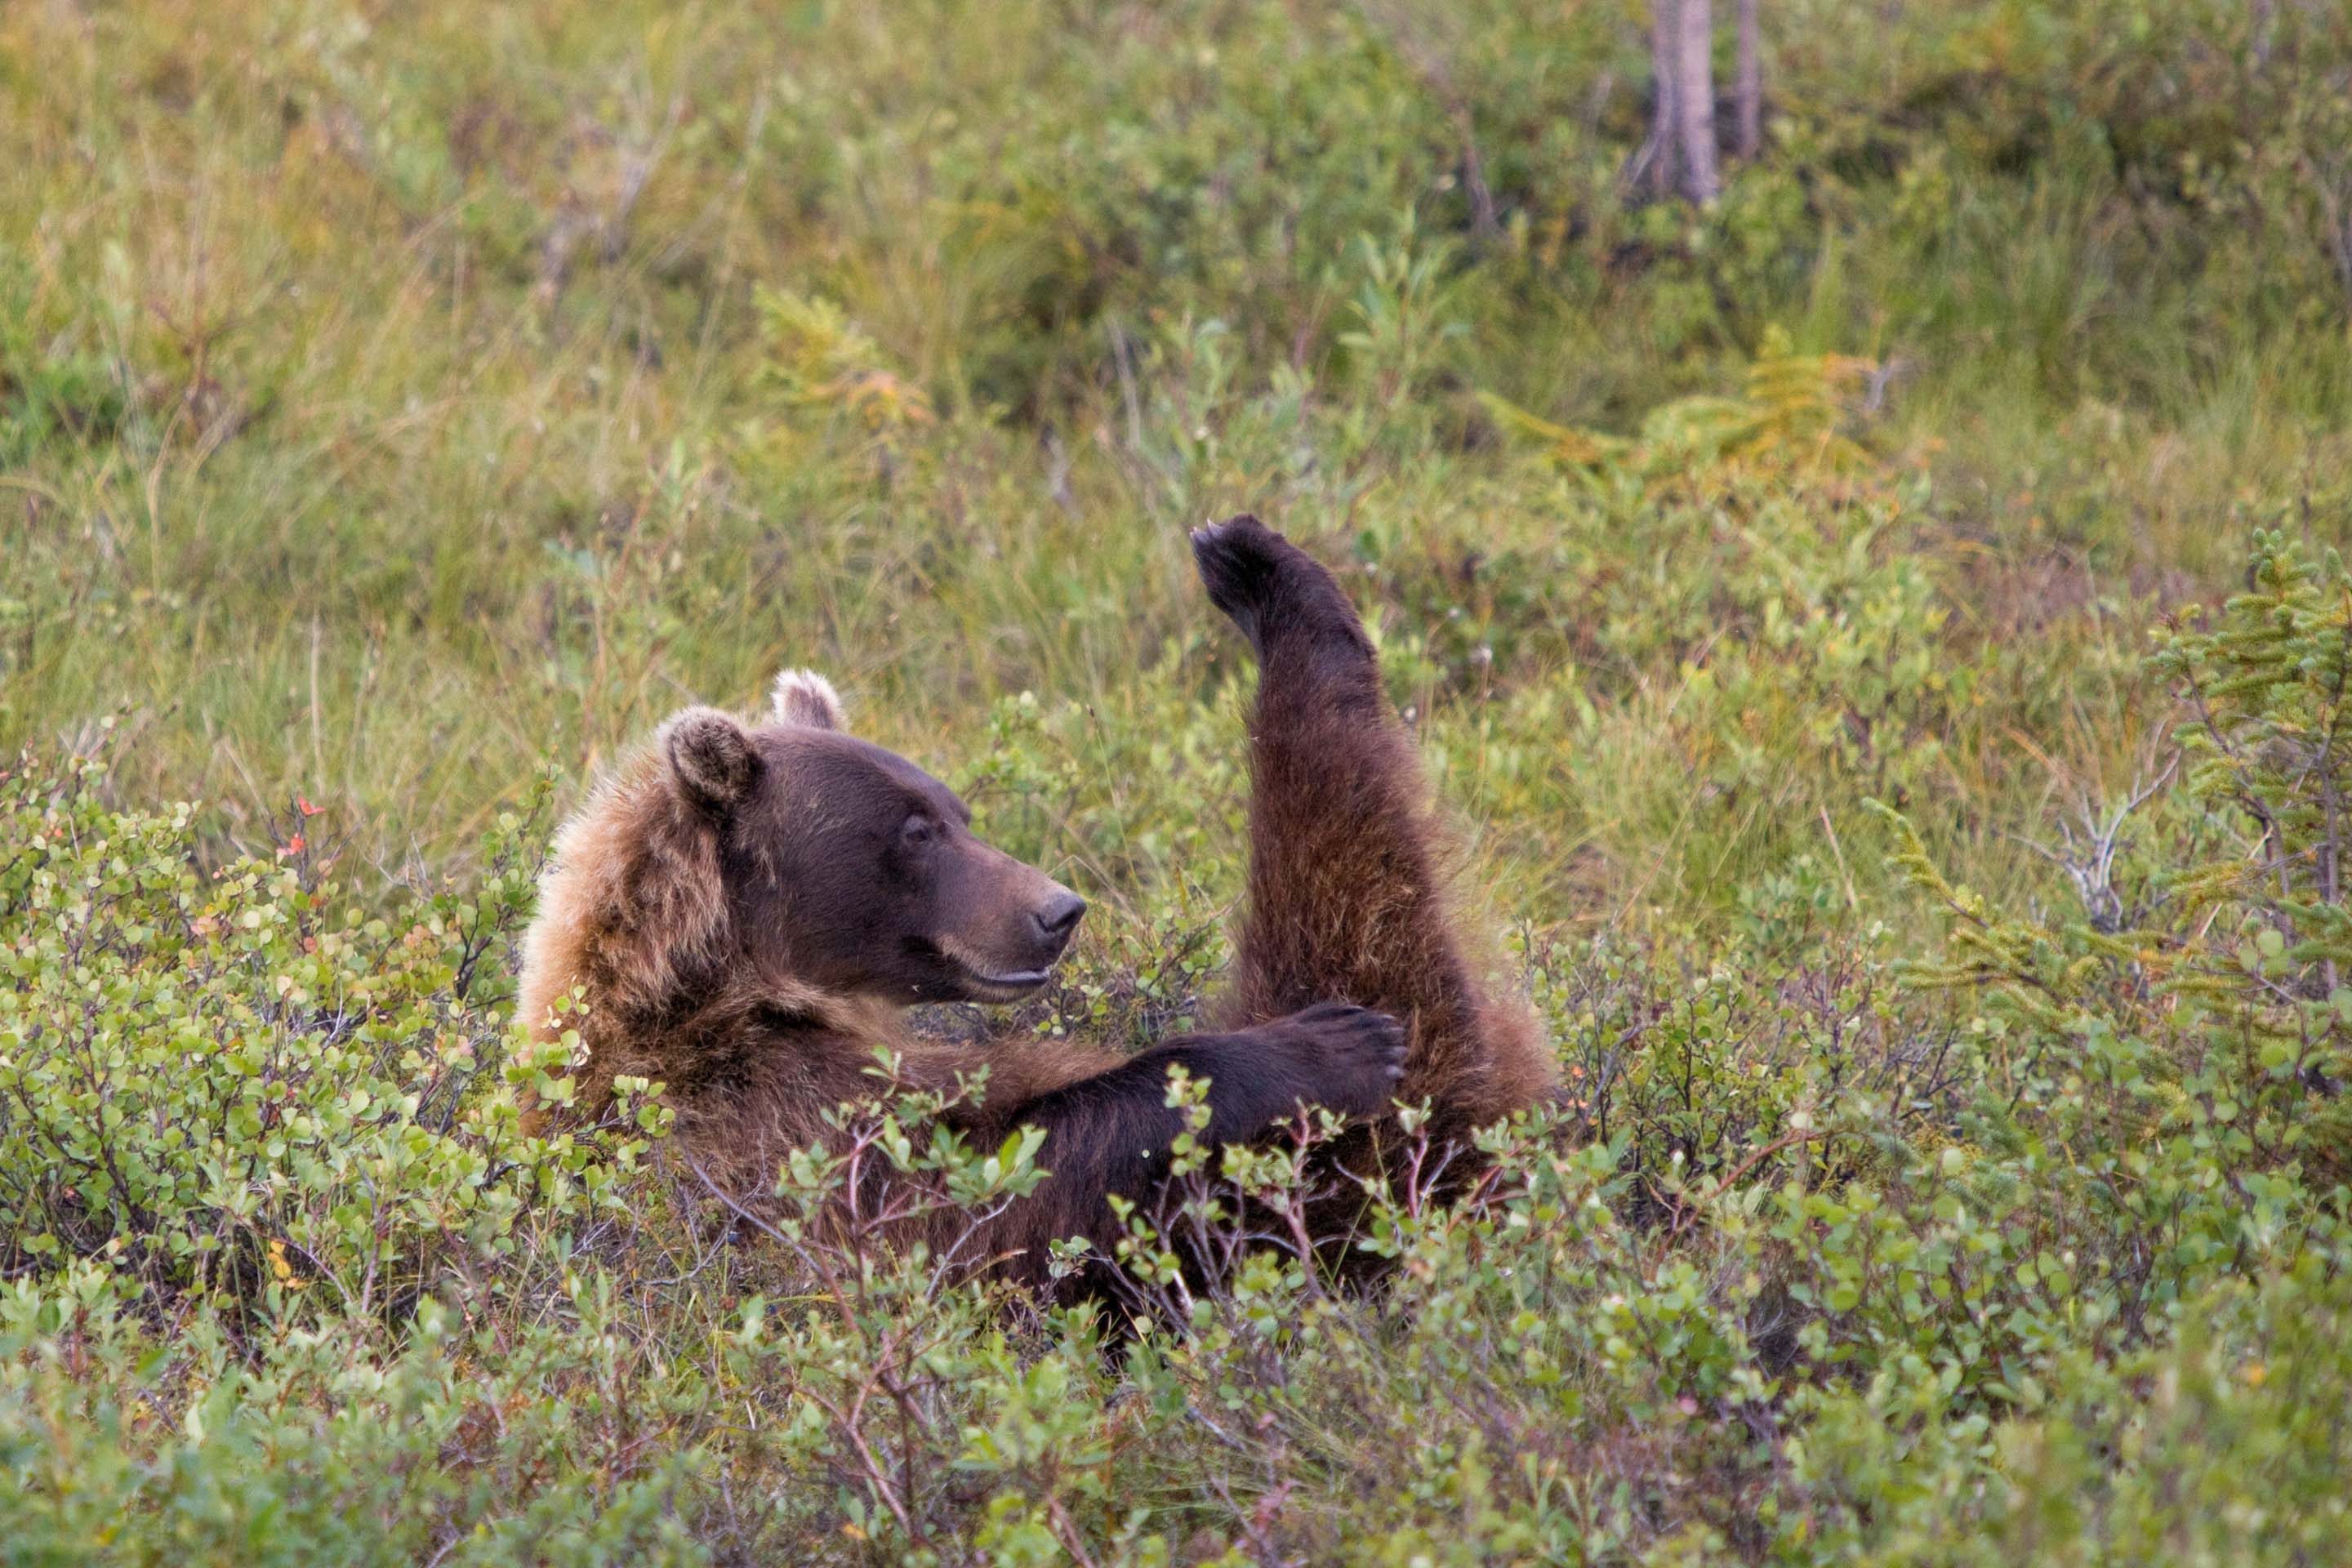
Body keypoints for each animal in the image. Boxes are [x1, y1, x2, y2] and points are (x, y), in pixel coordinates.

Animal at [516, 514, 1554, 1300]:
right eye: (913, 831)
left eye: (958, 810)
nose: (1059, 909)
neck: (736, 996)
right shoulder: (763, 1125)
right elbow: (996, 1184)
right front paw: (1322, 1045)